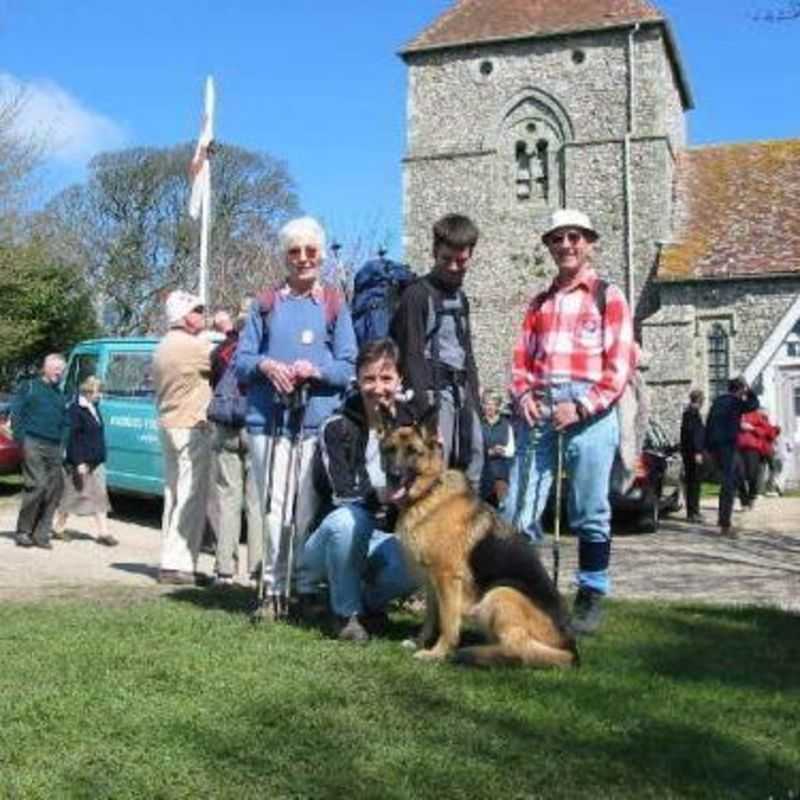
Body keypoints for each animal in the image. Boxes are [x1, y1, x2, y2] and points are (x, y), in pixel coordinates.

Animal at [378, 416, 580, 664]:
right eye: (390, 450)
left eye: (413, 452)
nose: (394, 475)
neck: (428, 493)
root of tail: (570, 648)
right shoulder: (431, 580)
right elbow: (431, 617)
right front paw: (420, 642)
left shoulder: (447, 578)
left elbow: (448, 623)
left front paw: (438, 652)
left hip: (499, 593)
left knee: (518, 650)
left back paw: (471, 654)